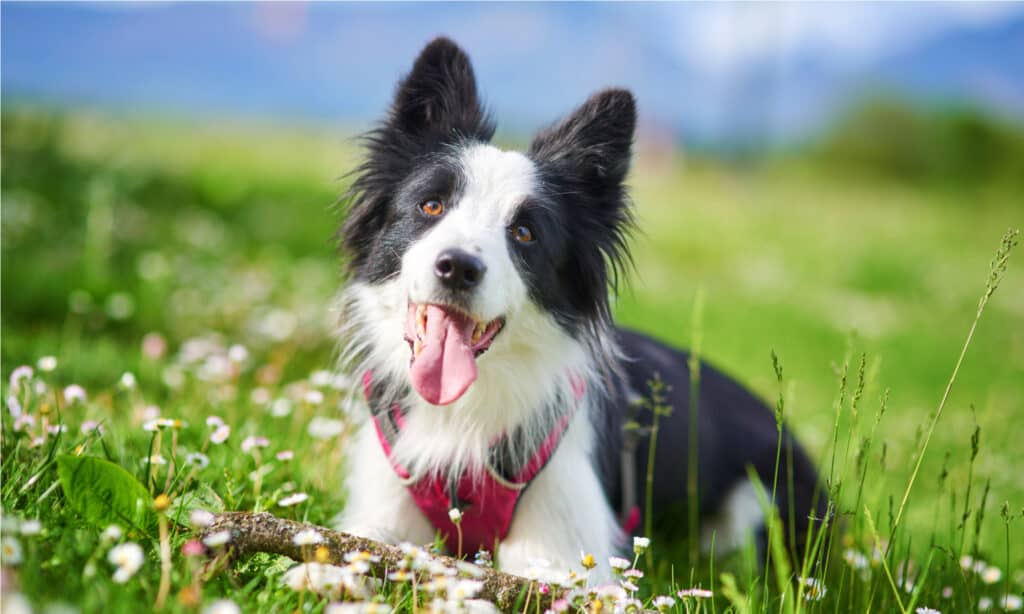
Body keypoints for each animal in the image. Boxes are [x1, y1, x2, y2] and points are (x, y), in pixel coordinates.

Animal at [333, 37, 823, 577]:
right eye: (431, 206)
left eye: (524, 233)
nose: (458, 267)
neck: (465, 409)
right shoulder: (380, 512)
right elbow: (350, 548)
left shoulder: (565, 553)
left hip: (760, 504)